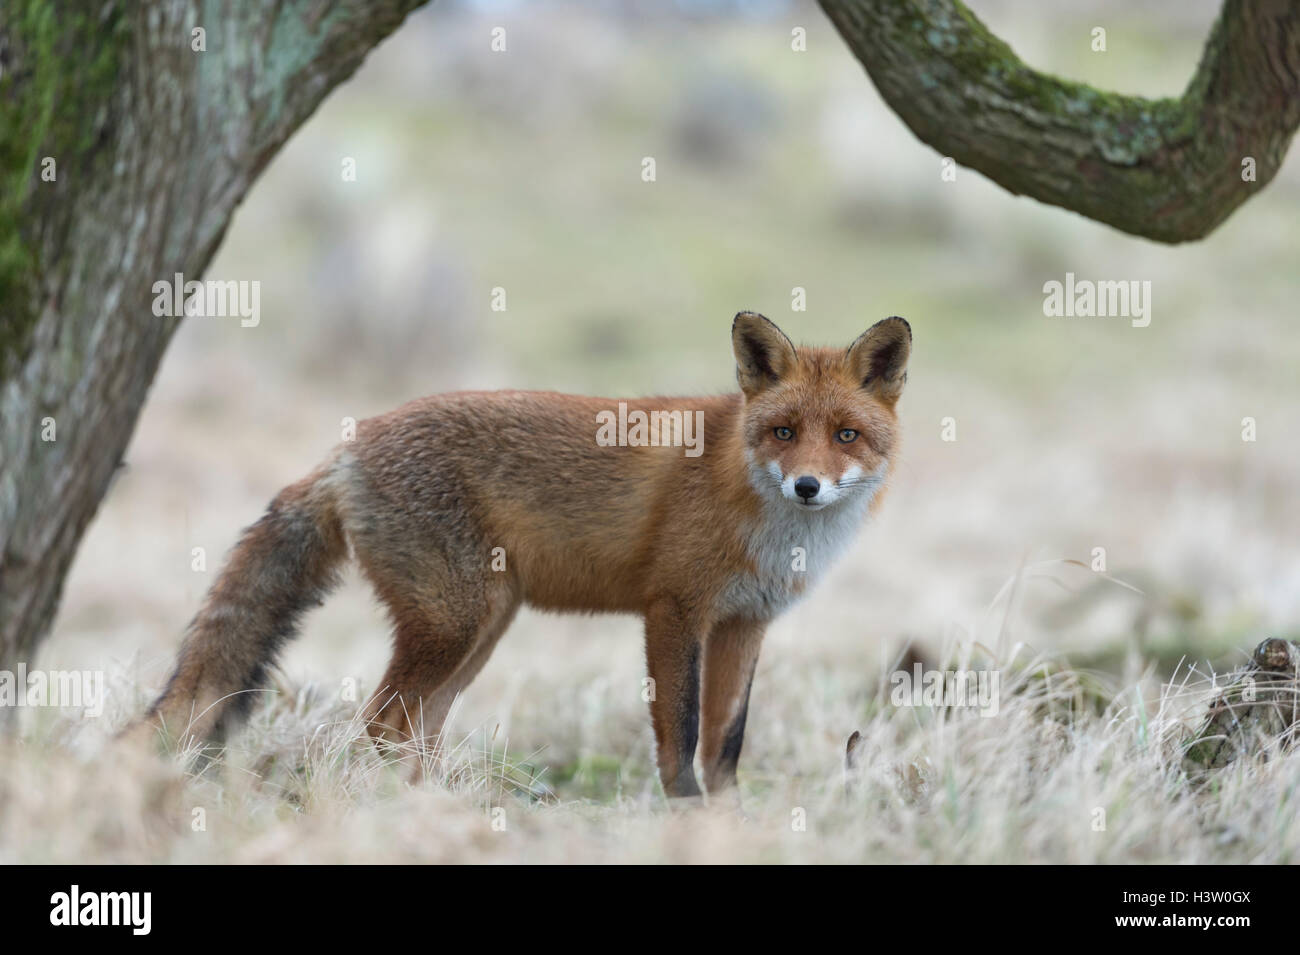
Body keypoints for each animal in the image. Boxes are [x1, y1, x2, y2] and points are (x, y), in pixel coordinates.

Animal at [131, 314, 904, 800]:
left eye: (845, 434)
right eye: (783, 431)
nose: (807, 486)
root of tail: (347, 446)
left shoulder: (746, 622)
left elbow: (726, 742)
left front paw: (728, 818)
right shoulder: (673, 611)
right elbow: (679, 733)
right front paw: (683, 811)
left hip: (482, 628)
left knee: (416, 729)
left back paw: (440, 804)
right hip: (455, 622)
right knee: (381, 723)